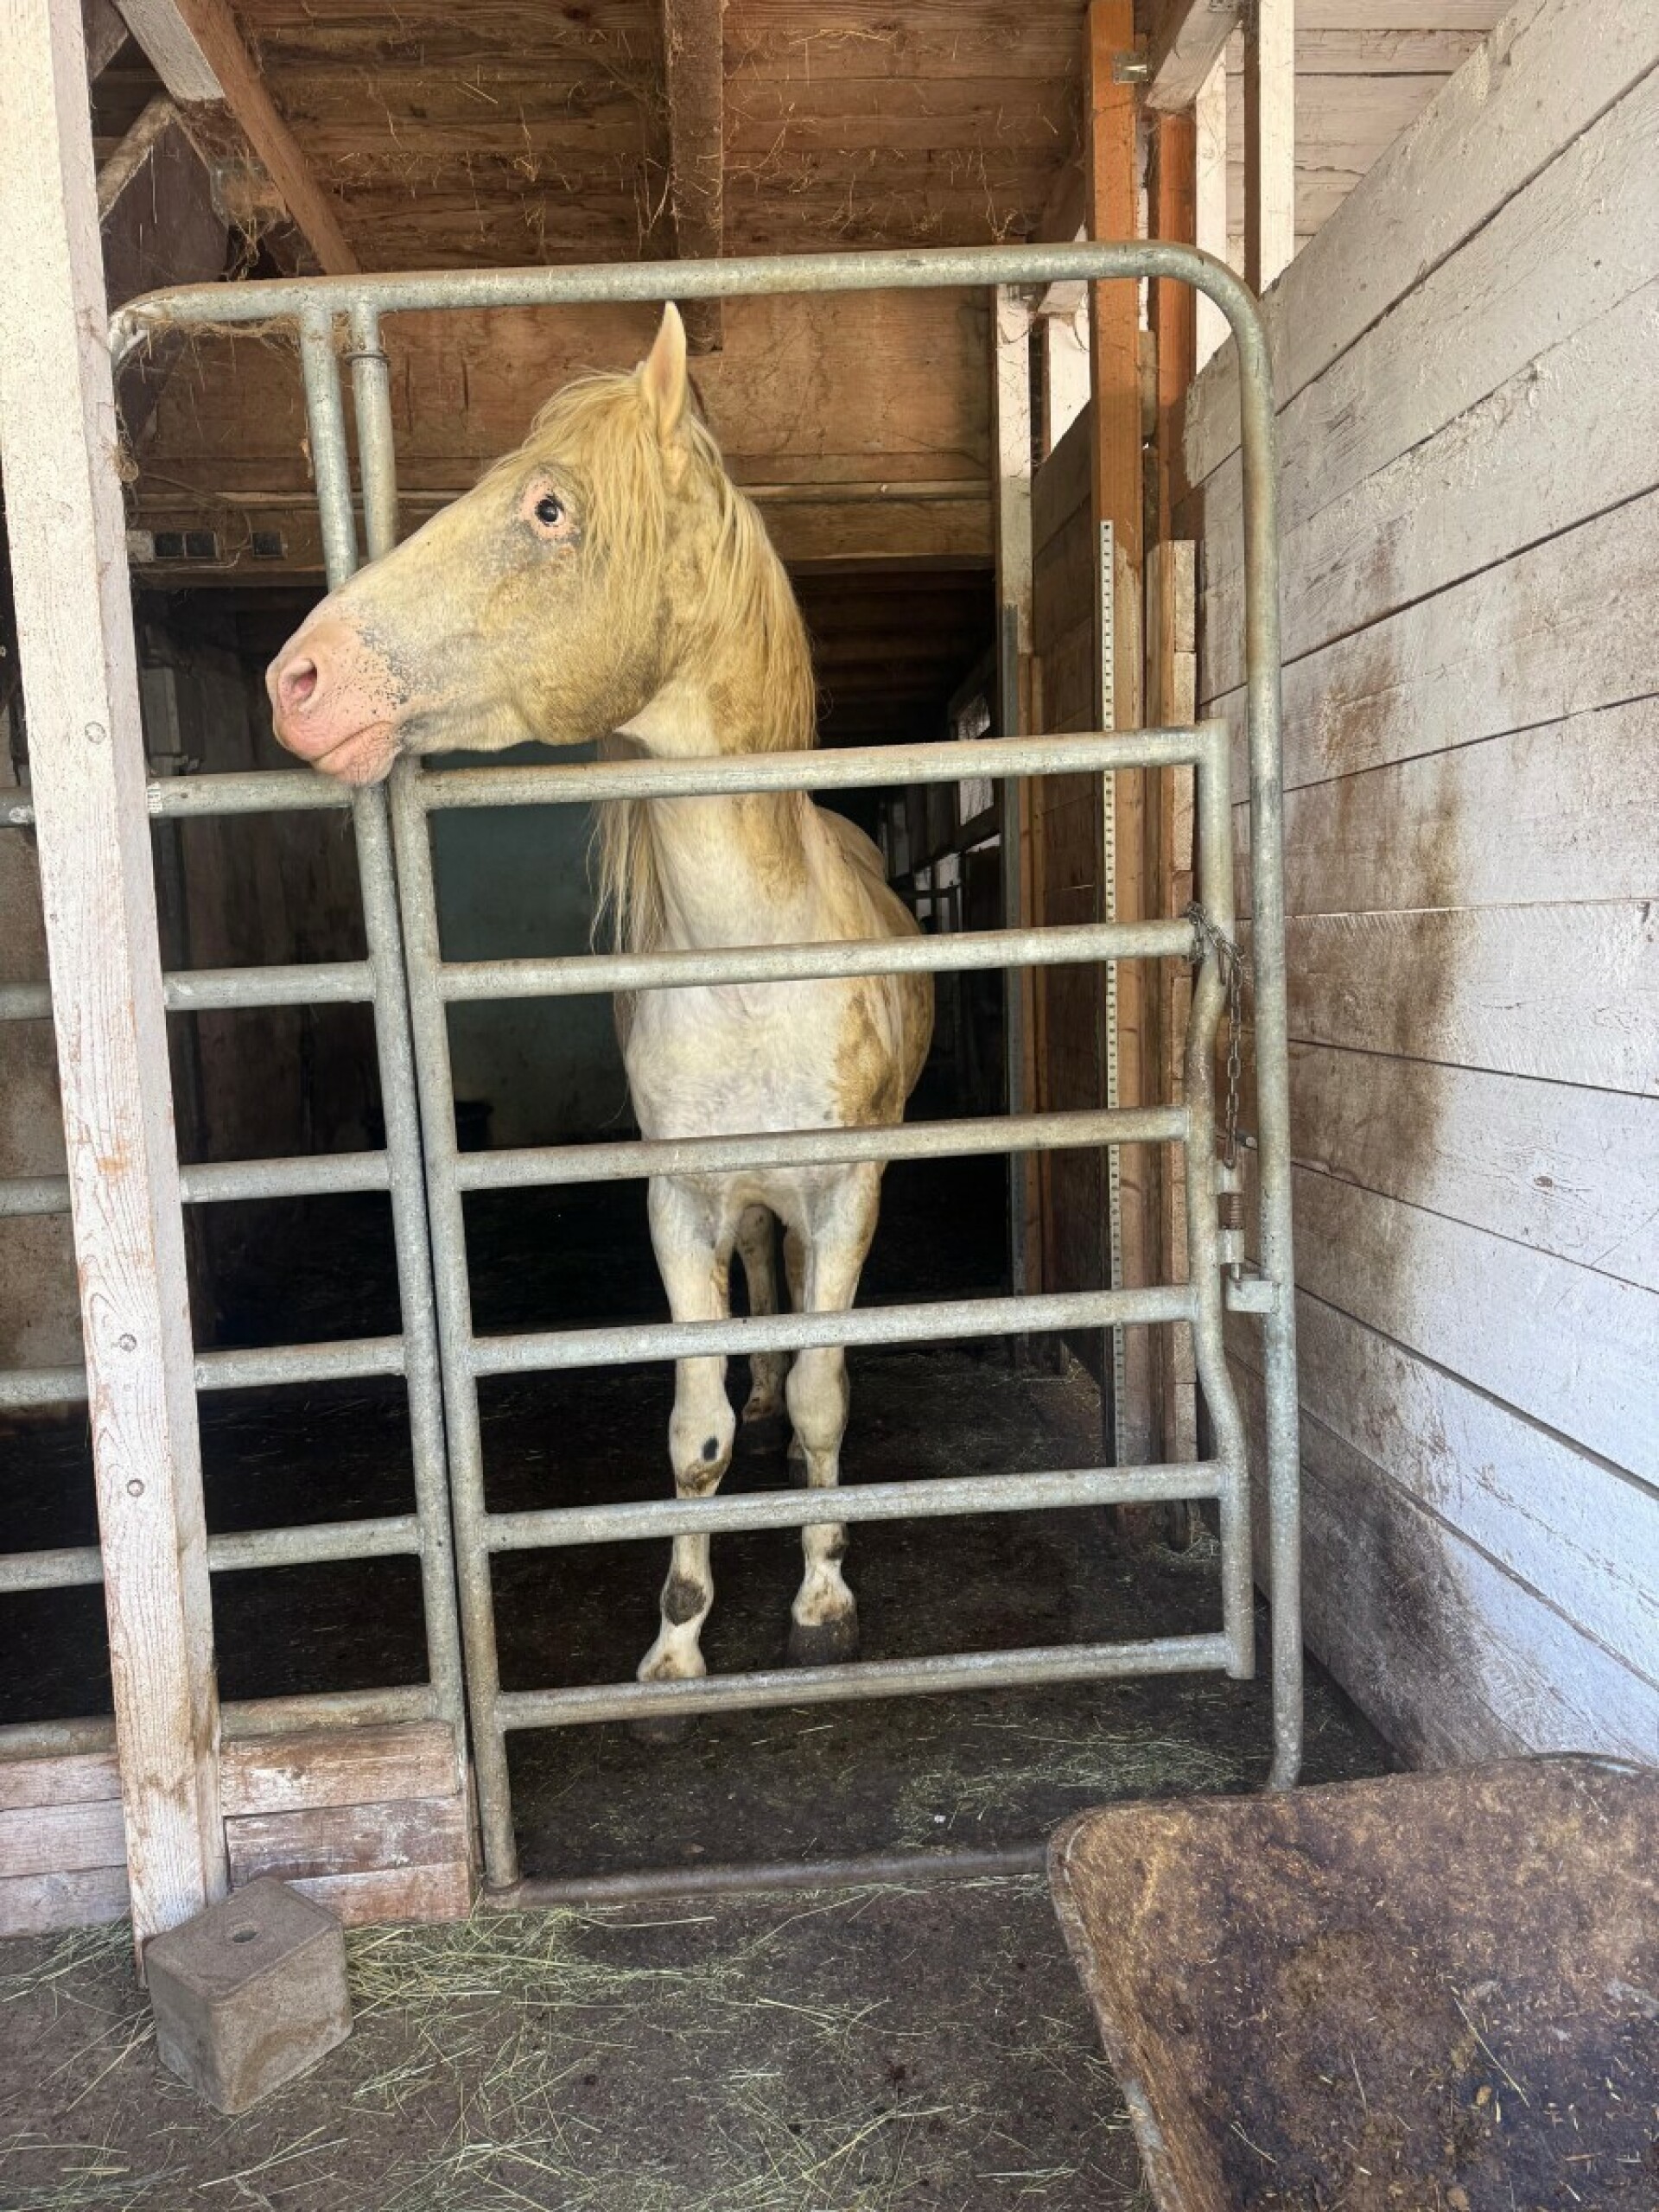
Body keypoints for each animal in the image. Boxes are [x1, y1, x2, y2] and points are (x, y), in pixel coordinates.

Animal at [267, 304, 934, 1692]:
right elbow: (694, 1428)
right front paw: (677, 1634)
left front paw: (824, 1595)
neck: (751, 972)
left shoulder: (849, 1192)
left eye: (550, 508)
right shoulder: (679, 1205)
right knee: (759, 1311)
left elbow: (830, 1393)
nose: (297, 682)